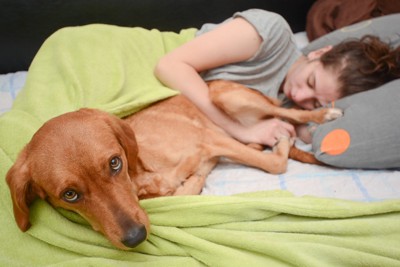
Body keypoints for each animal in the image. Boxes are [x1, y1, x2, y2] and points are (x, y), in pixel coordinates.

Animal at [5, 79, 340, 249]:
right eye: (69, 195)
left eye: (115, 163)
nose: (135, 239)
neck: (144, 173)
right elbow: (188, 188)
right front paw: (195, 181)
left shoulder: (210, 139)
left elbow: (273, 165)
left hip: (226, 96)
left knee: (288, 113)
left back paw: (320, 115)